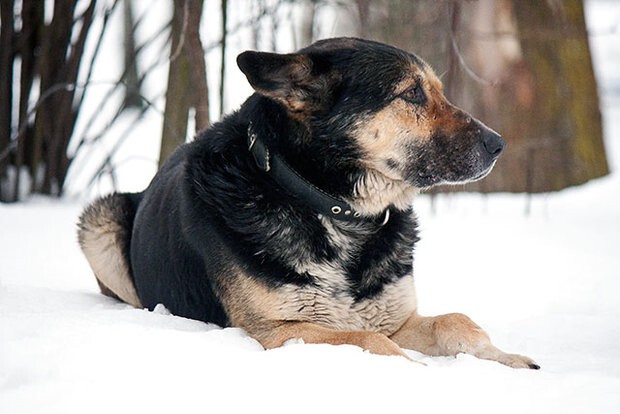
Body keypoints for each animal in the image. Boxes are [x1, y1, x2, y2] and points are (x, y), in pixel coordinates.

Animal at [78, 38, 536, 368]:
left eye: (436, 91)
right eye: (411, 94)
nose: (498, 145)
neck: (332, 208)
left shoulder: (397, 320)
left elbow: (457, 322)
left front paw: (507, 360)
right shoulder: (278, 331)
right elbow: (369, 339)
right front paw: (420, 373)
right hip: (99, 221)